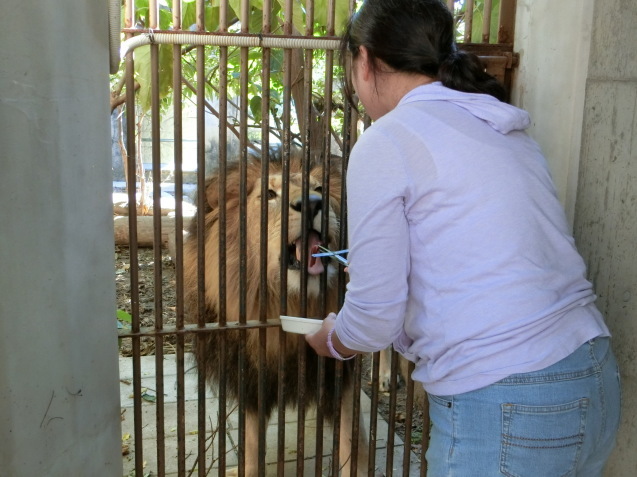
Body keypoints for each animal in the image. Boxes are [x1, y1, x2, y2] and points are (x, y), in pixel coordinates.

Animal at [183, 154, 368, 474]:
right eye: (269, 194)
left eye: (319, 188)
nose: (312, 203)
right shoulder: (250, 378)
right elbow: (251, 445)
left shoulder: (339, 376)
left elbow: (352, 444)